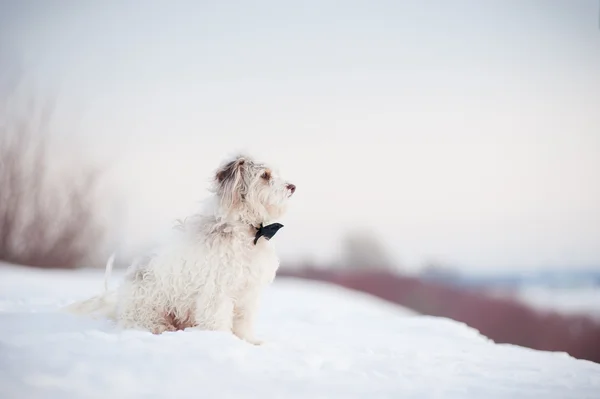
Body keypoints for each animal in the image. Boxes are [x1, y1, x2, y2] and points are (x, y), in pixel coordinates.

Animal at [67, 155, 296, 346]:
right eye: (265, 175)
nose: (293, 187)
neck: (246, 231)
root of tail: (119, 307)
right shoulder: (217, 293)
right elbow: (218, 320)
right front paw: (222, 341)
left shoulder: (247, 292)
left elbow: (243, 322)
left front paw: (250, 342)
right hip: (148, 307)